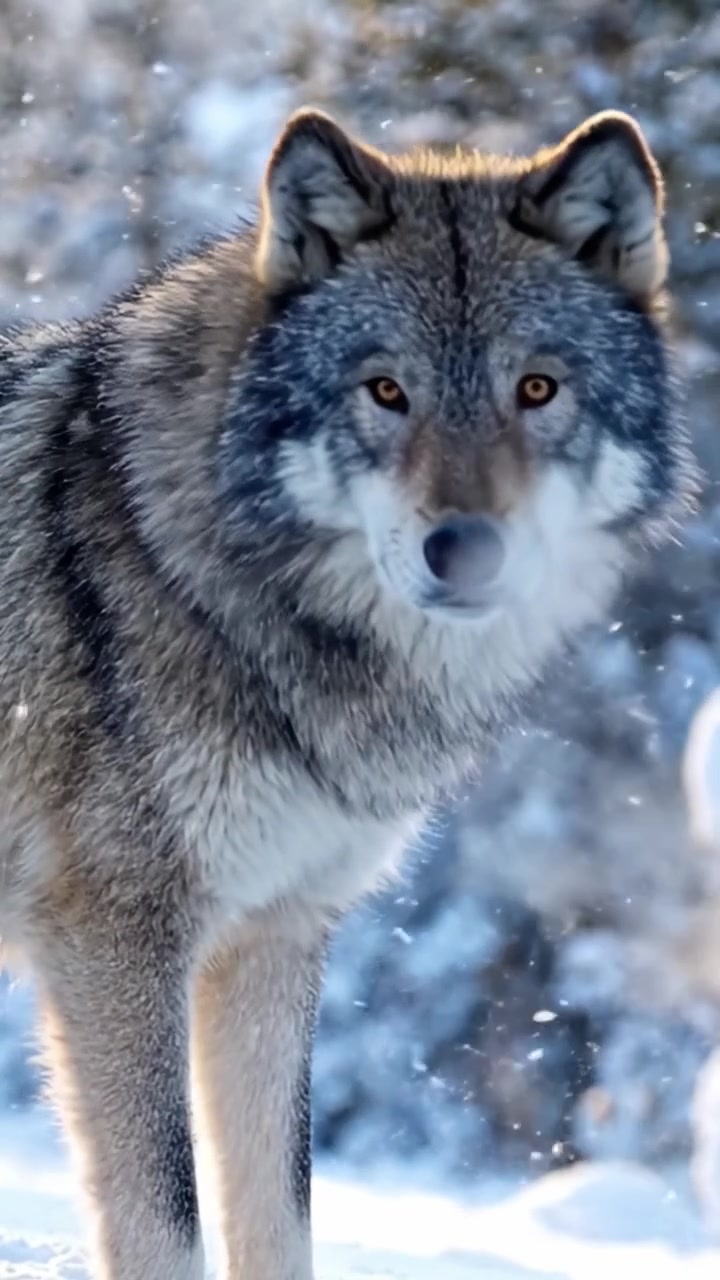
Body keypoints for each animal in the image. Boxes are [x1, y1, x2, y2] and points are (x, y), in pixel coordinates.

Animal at [0, 104, 695, 1278]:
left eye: (536, 389)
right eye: (386, 390)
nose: (464, 549)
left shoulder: (275, 935)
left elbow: (280, 1216)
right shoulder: (117, 938)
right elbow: (165, 1220)